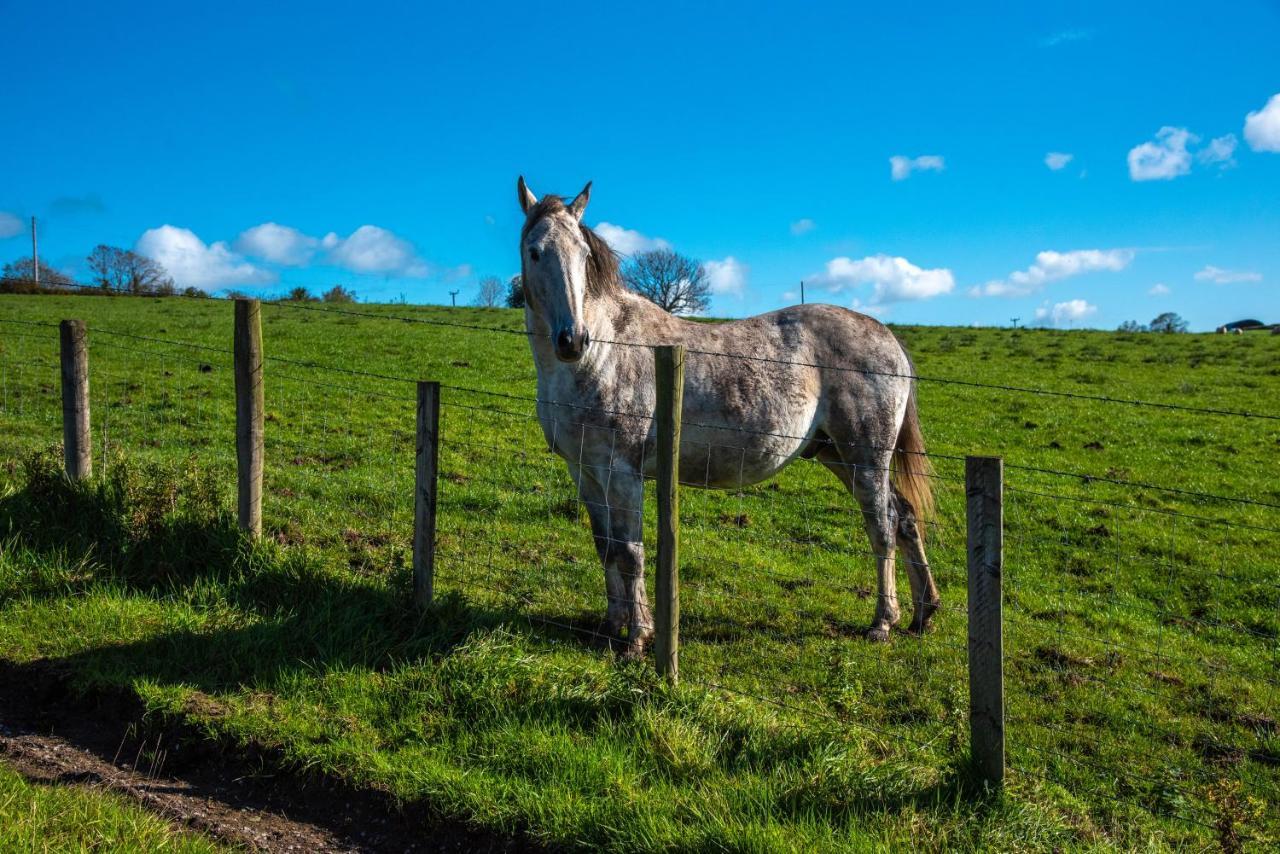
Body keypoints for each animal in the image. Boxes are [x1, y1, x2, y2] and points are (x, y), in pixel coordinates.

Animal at [512, 176, 942, 660]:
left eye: (584, 254)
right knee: (904, 517)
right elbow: (605, 547)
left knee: (882, 527)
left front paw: (637, 639)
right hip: (836, 455)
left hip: (865, 458)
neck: (602, 354)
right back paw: (923, 614)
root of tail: (887, 336)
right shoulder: (583, 469)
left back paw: (883, 622)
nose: (573, 339)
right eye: (535, 252)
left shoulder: (622, 473)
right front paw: (609, 628)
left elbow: (630, 552)